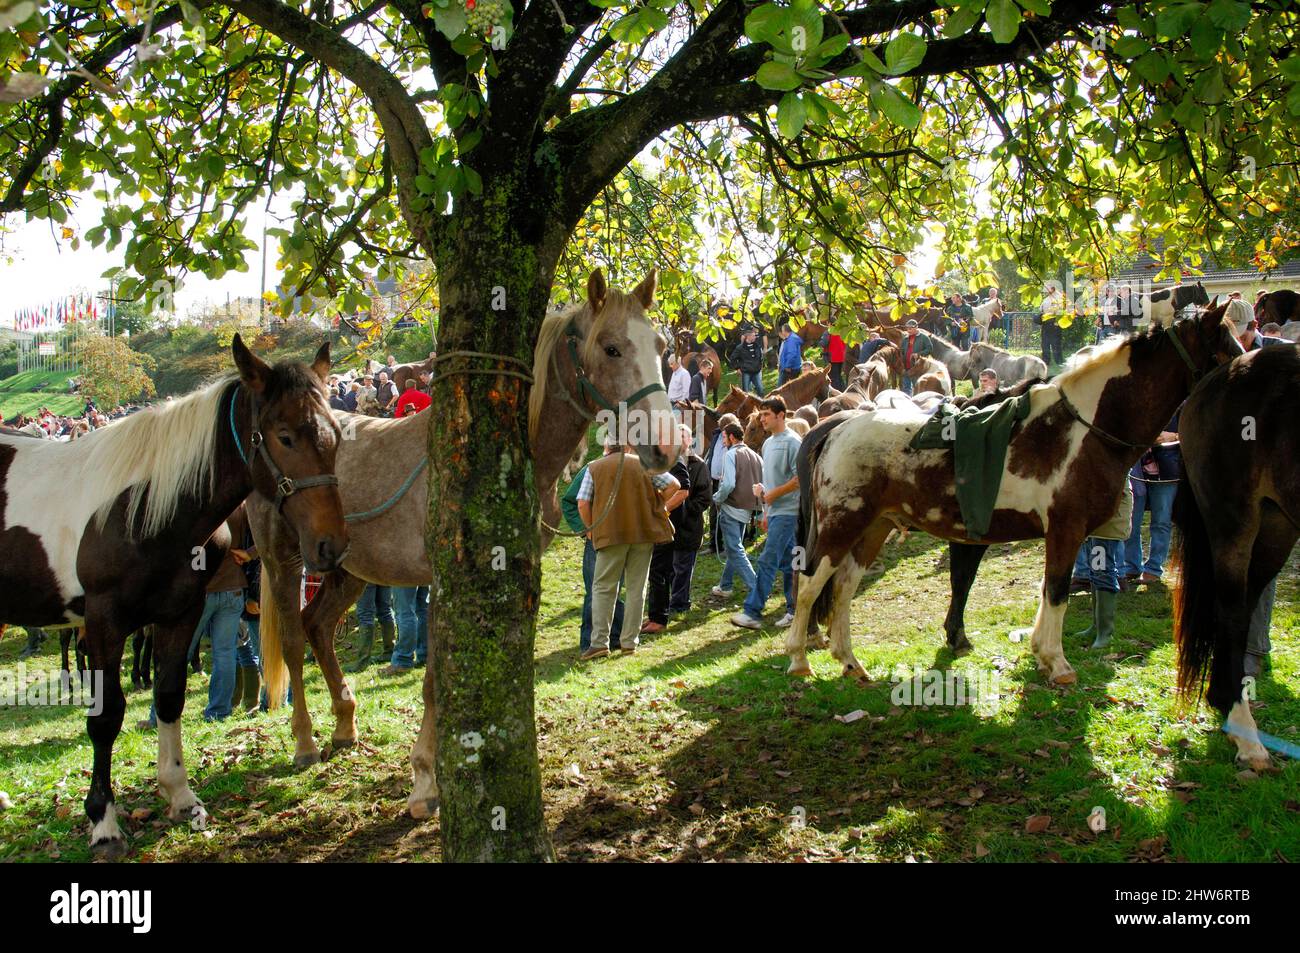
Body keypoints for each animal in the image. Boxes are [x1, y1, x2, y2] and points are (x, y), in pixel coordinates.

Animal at [0, 336, 348, 857]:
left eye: (337, 434)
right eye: (285, 436)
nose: (332, 545)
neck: (141, 507)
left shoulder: (181, 613)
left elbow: (169, 697)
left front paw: (181, 797)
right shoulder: (104, 622)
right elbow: (107, 716)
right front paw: (104, 822)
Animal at [249, 270, 678, 809]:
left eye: (661, 345)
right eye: (611, 347)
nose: (669, 445)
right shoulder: (443, 581)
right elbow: (435, 681)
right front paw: (425, 779)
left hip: (346, 568)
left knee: (318, 627)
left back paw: (345, 727)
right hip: (284, 561)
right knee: (291, 640)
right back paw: (305, 741)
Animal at [786, 302, 1241, 687]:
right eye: (1227, 352)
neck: (1081, 428)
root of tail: (836, 429)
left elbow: (1047, 591)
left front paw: (1042, 654)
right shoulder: (1066, 530)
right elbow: (1056, 591)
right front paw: (1057, 662)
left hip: (873, 528)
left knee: (843, 587)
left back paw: (850, 662)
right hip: (842, 527)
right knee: (809, 584)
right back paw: (799, 660)